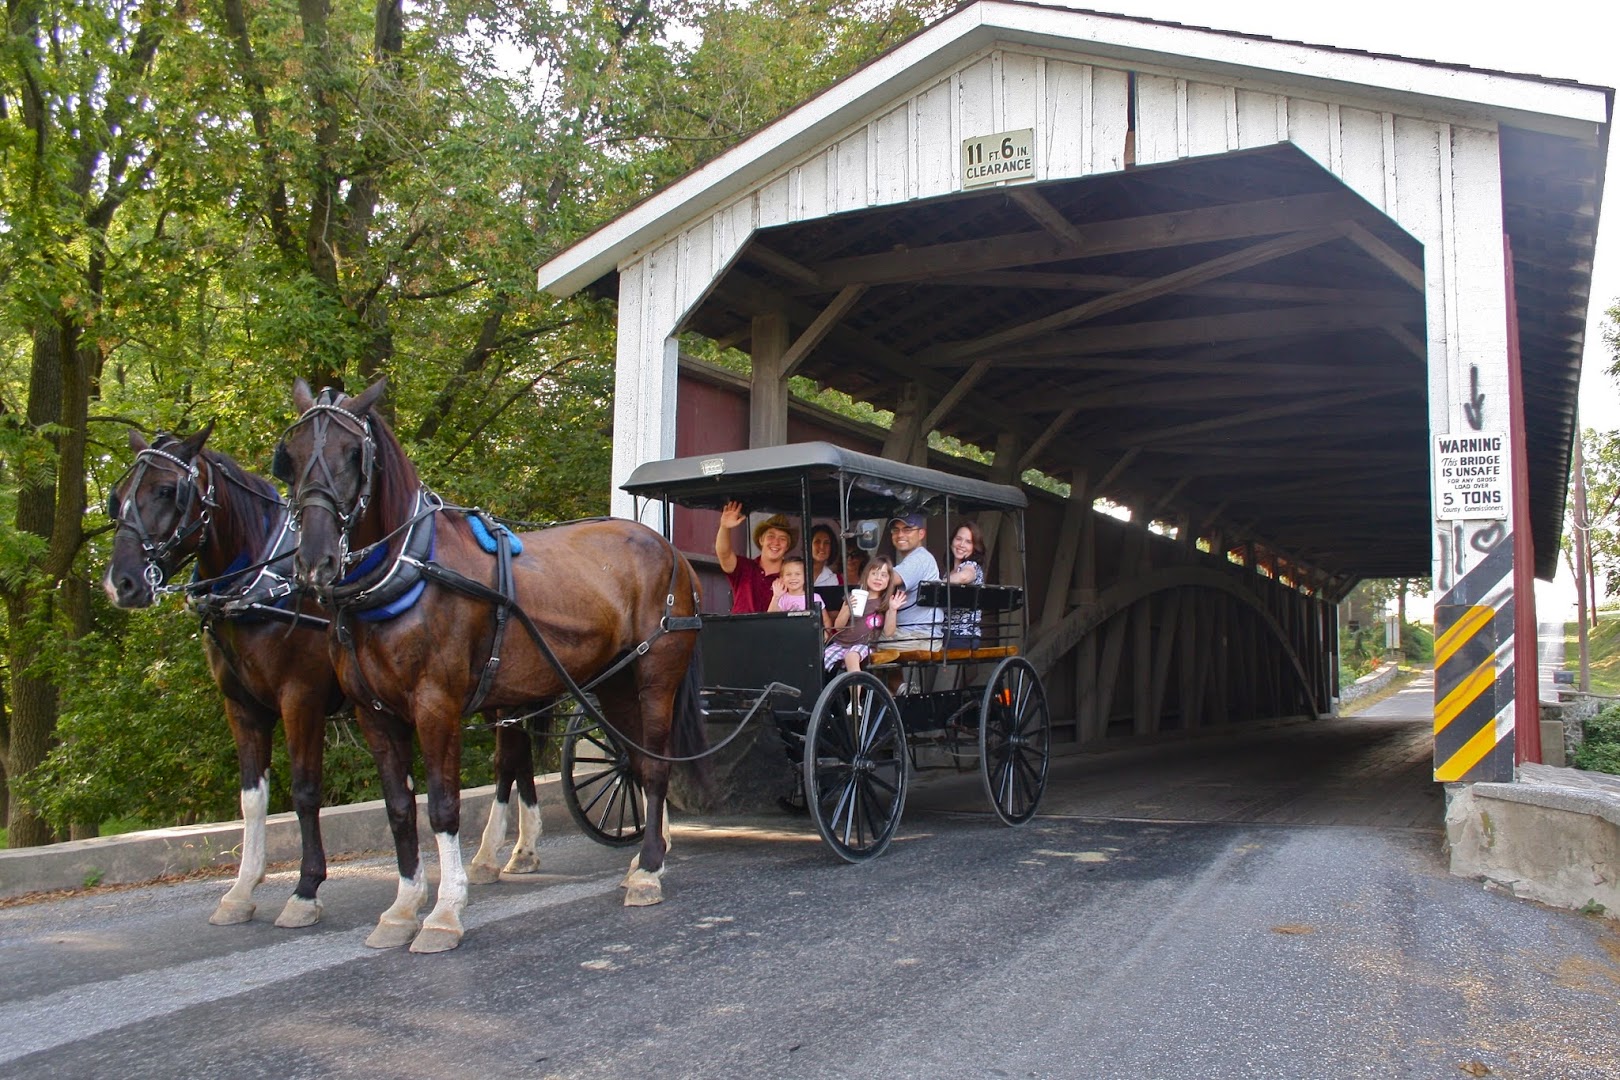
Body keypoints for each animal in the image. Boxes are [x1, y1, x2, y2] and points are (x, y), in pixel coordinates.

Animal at [102, 427, 349, 932]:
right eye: (118, 499)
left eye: (166, 490)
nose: (123, 583)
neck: (261, 587)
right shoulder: (242, 707)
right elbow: (252, 799)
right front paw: (240, 890)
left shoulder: (302, 698)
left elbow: (305, 791)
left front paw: (306, 889)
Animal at [280, 380, 709, 952]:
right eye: (292, 454)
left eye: (354, 453)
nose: (315, 561)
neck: (407, 572)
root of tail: (671, 552)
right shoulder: (375, 713)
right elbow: (400, 807)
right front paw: (402, 908)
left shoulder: (436, 704)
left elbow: (443, 806)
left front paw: (445, 912)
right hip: (617, 681)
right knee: (635, 760)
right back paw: (646, 858)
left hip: (656, 675)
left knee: (657, 764)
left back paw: (648, 872)